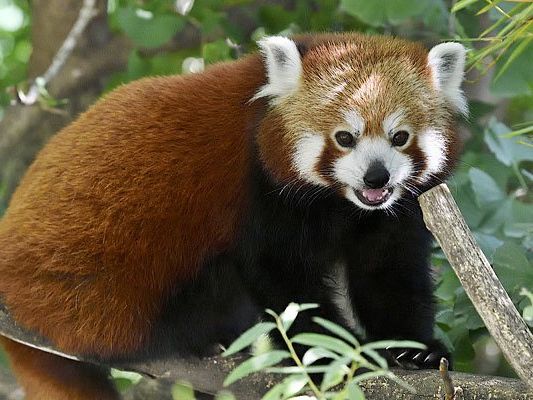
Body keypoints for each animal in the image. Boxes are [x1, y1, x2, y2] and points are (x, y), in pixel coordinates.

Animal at [0, 32, 464, 398]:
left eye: (399, 137)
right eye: (344, 138)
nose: (376, 175)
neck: (340, 203)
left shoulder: (392, 214)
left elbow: (388, 274)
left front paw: (413, 348)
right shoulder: (263, 192)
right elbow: (279, 275)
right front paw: (335, 351)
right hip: (99, 309)